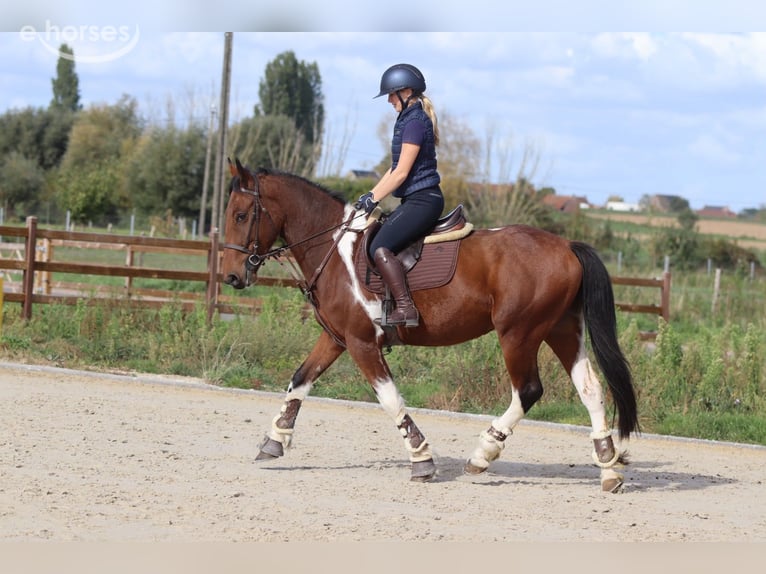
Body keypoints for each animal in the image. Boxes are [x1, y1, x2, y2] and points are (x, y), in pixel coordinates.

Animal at [221, 158, 639, 492]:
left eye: (241, 216)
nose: (231, 276)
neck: (334, 250)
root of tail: (566, 246)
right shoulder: (337, 338)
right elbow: (300, 380)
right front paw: (274, 440)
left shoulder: (362, 342)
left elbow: (390, 399)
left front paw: (421, 459)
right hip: (560, 330)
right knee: (590, 389)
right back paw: (608, 468)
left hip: (519, 333)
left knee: (528, 390)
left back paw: (483, 453)